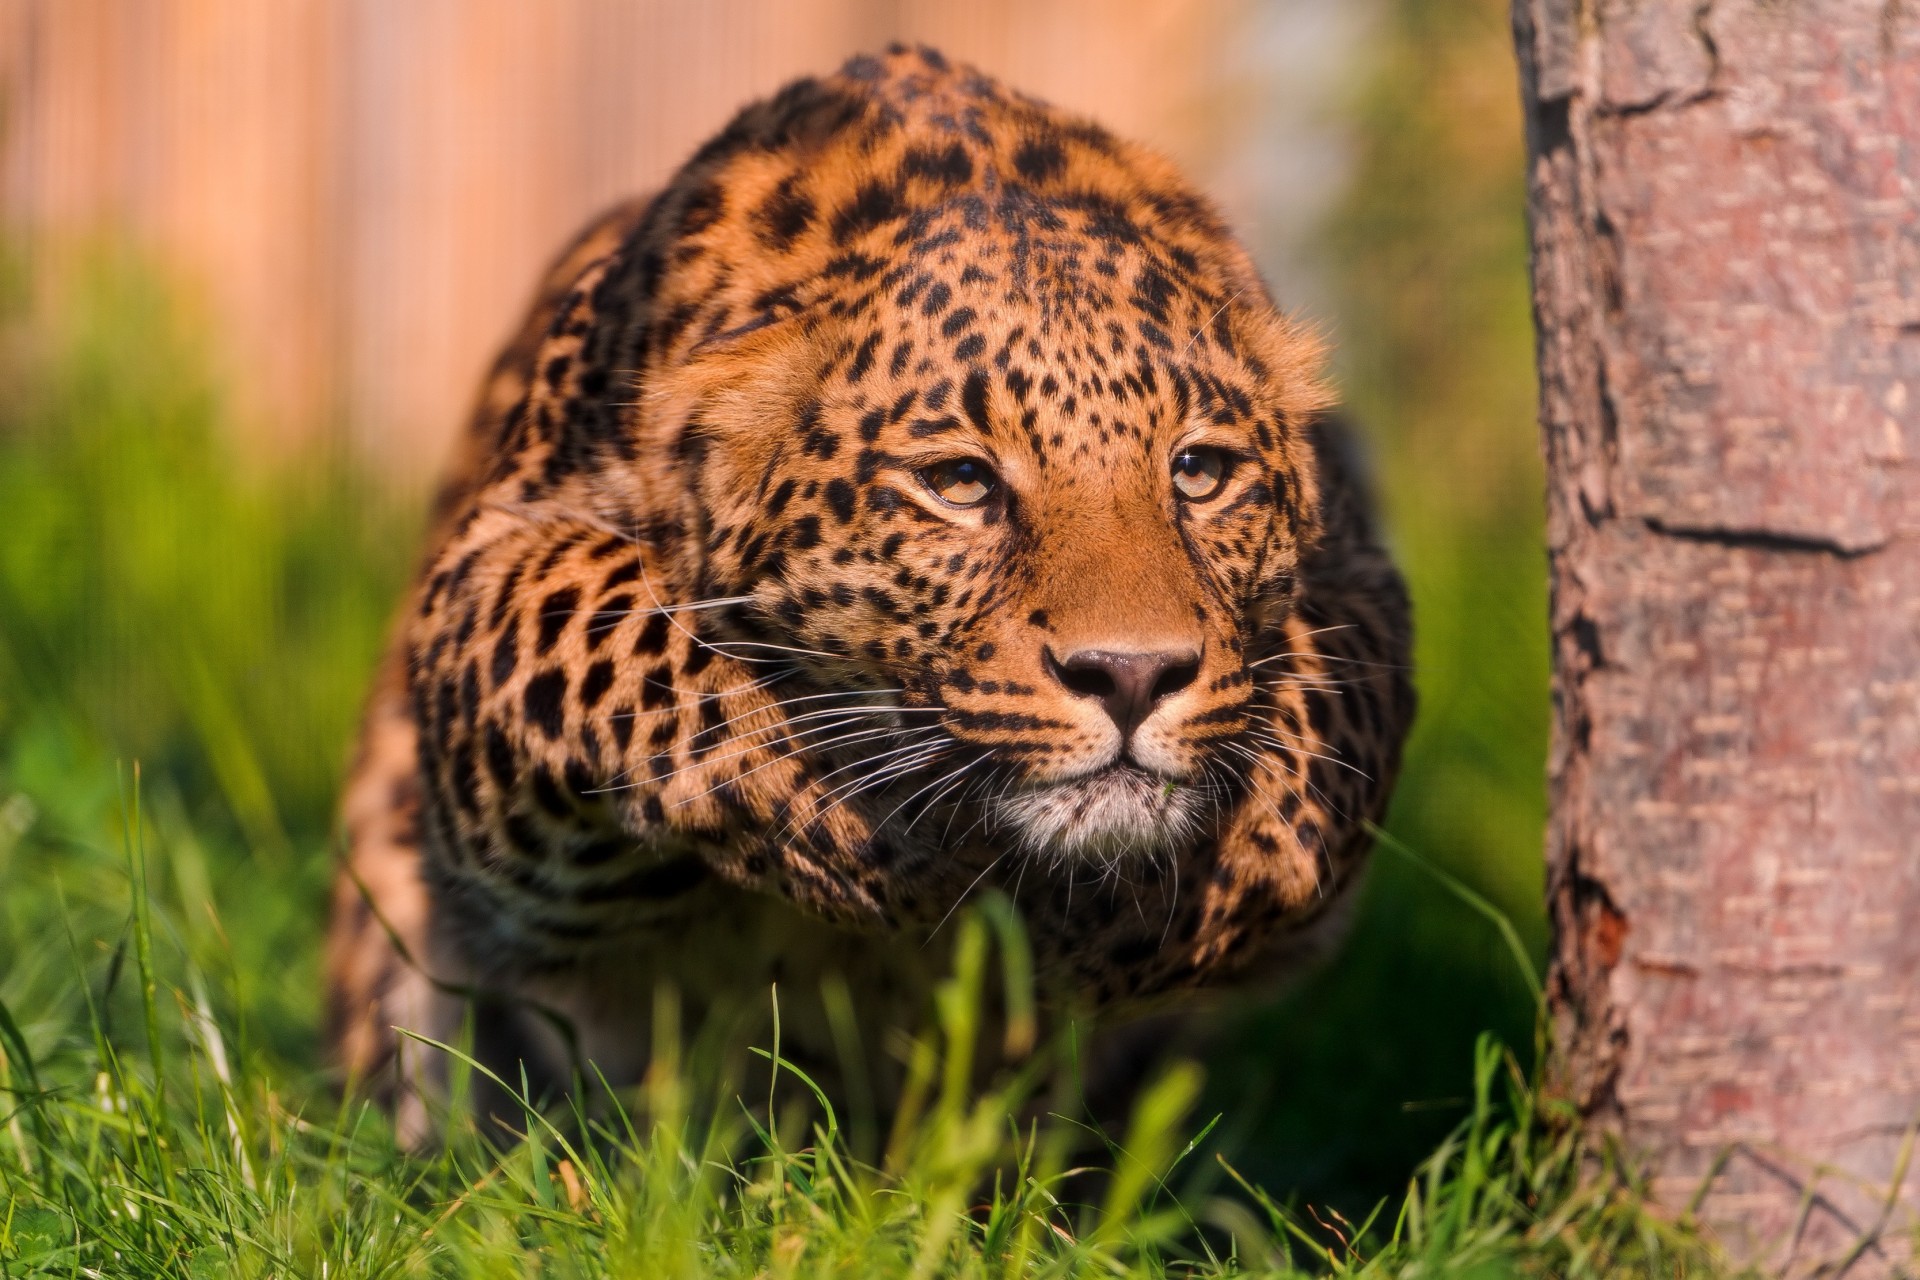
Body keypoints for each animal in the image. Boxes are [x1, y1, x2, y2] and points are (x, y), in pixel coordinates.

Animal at [324, 44, 1415, 1142]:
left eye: (1200, 472)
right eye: (960, 483)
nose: (1132, 675)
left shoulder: (1361, 579)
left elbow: (1323, 742)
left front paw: (1156, 899)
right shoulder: (485, 574)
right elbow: (616, 624)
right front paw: (876, 840)